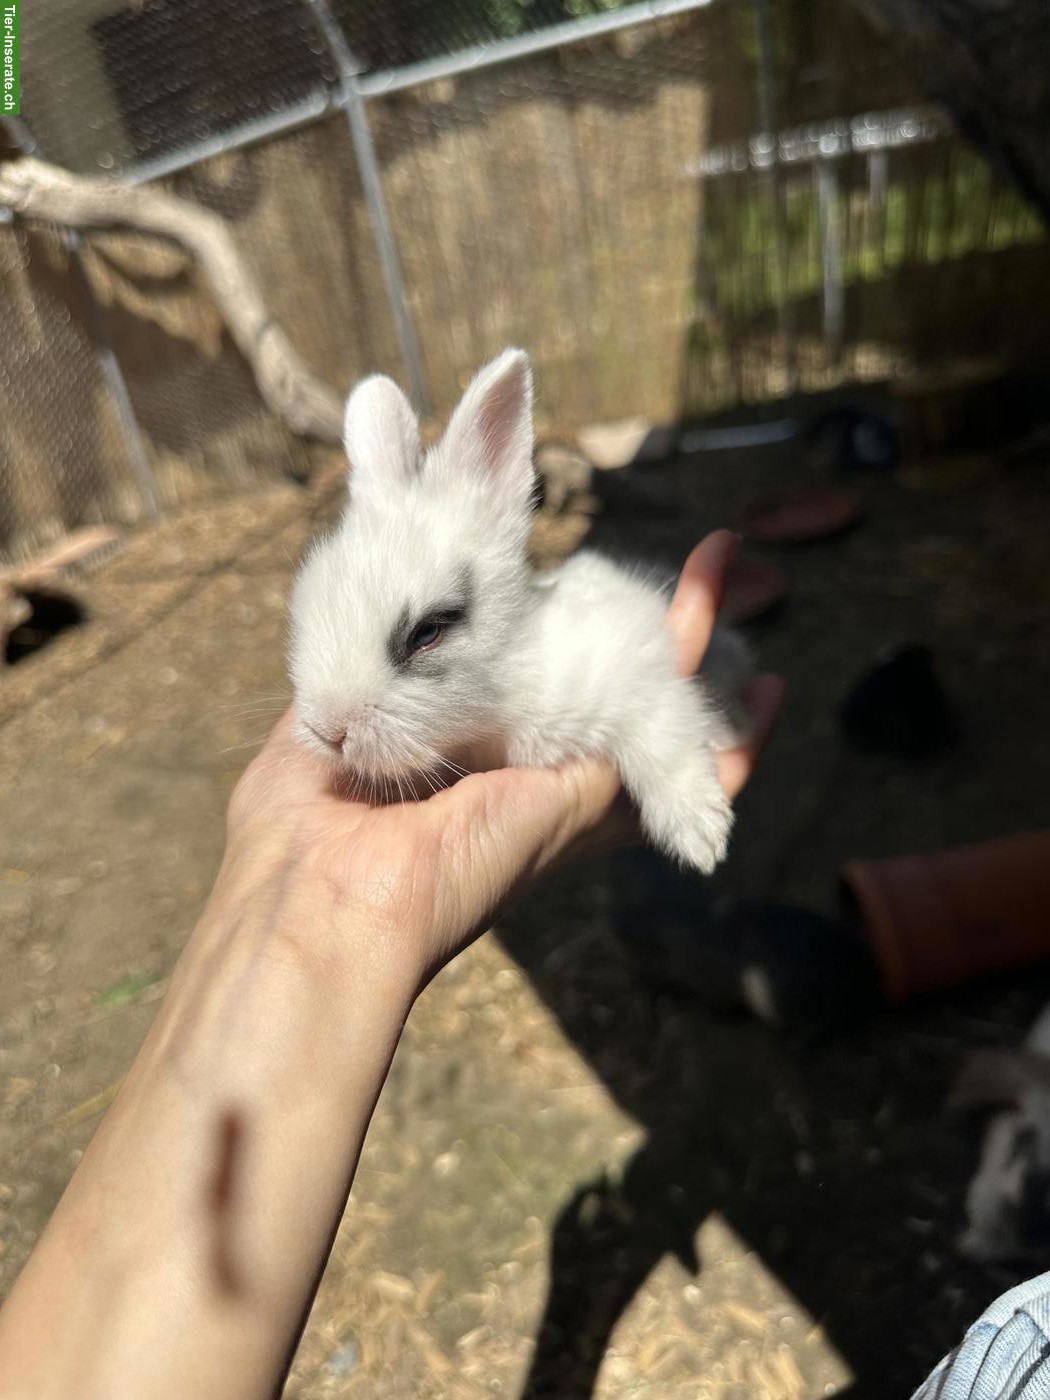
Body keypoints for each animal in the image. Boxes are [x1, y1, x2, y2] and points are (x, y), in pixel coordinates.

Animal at [288, 348, 753, 874]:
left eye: (427, 632)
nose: (329, 730)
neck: (507, 690)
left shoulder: (639, 674)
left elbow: (664, 737)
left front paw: (700, 836)